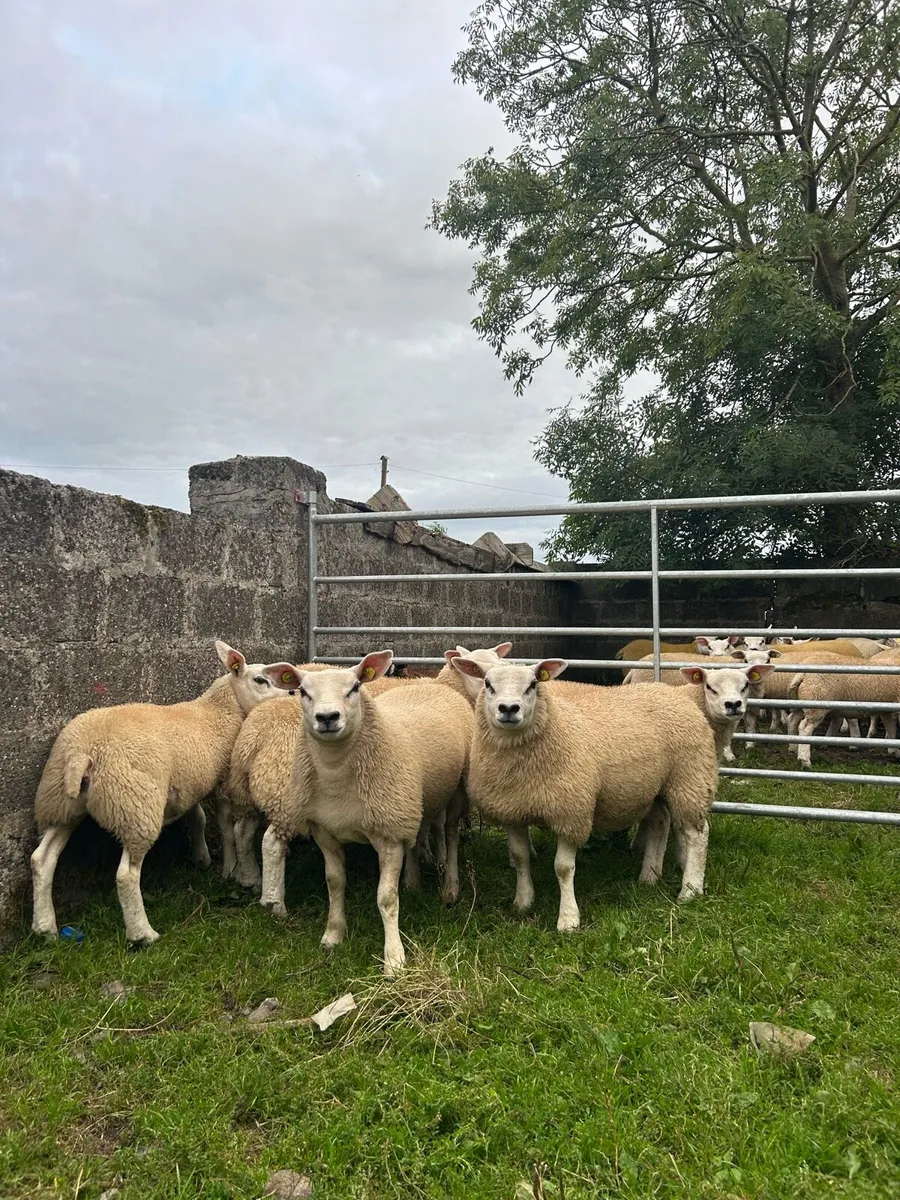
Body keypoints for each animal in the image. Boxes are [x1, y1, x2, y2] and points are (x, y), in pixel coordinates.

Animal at [31, 640, 284, 946]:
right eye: (260, 680)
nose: (291, 693)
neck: (220, 710)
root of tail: (83, 754)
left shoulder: (185, 782)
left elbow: (197, 818)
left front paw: (202, 859)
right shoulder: (222, 781)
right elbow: (224, 828)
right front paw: (230, 869)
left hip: (61, 804)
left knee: (42, 860)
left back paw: (45, 928)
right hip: (135, 806)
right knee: (126, 875)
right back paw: (142, 933)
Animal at [257, 651, 472, 976]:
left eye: (355, 687)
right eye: (303, 691)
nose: (327, 717)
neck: (337, 776)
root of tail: (429, 684)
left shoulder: (389, 836)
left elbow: (386, 898)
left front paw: (394, 959)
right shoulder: (326, 832)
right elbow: (334, 883)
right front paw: (333, 935)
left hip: (454, 790)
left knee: (450, 834)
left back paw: (450, 888)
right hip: (411, 801)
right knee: (418, 833)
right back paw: (412, 881)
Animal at [450, 656, 717, 930]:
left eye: (533, 684)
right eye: (488, 683)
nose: (509, 708)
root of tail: (673, 693)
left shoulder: (571, 812)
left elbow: (563, 868)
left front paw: (568, 919)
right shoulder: (512, 810)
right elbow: (520, 857)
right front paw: (523, 901)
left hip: (690, 777)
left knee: (697, 834)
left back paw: (690, 889)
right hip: (651, 787)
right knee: (660, 822)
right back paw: (649, 877)